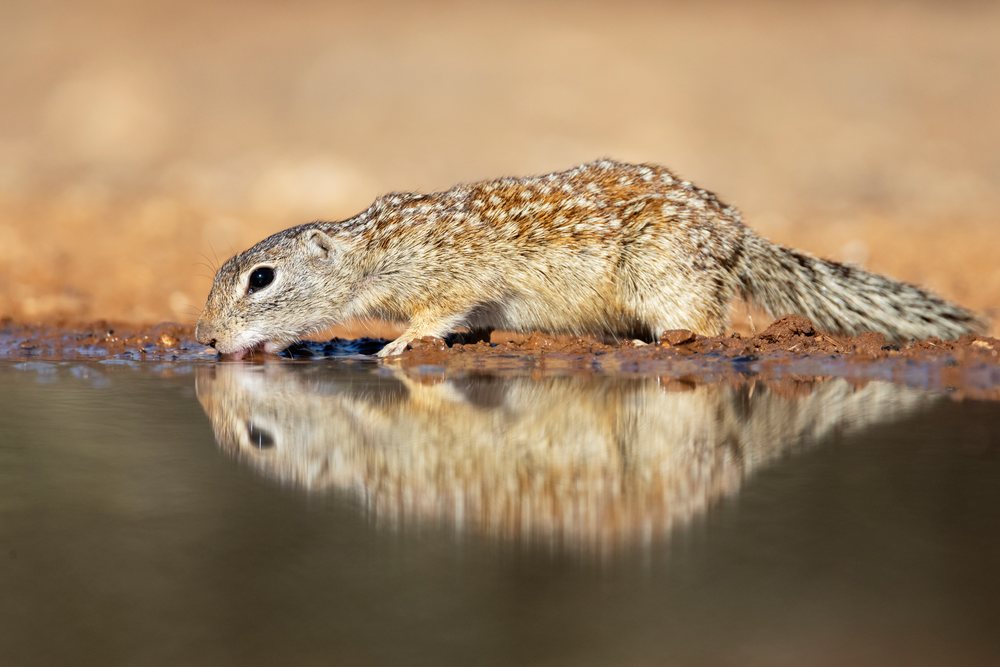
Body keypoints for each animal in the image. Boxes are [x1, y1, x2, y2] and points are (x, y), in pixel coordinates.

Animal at [196, 159, 984, 358]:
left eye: (261, 279)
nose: (206, 340)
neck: (372, 249)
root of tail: (739, 233)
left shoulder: (451, 273)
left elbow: (437, 313)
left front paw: (400, 345)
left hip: (666, 278)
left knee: (711, 325)